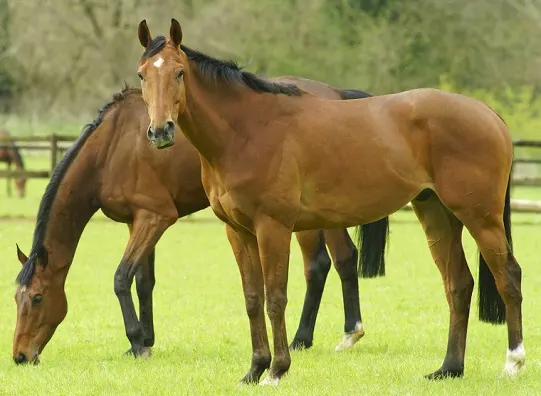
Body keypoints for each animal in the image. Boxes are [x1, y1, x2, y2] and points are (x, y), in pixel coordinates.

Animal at [12, 81, 388, 366]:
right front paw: (146, 339)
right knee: (339, 260)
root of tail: (336, 94)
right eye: (16, 299)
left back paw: (317, 335)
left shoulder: (155, 217)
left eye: (37, 298)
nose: (20, 356)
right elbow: (143, 281)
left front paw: (136, 342)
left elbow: (121, 278)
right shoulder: (138, 221)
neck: (112, 148)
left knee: (324, 263)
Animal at [135, 20, 524, 386]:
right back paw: (449, 369)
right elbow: (252, 299)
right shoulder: (238, 232)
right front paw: (254, 370)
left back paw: (513, 364)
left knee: (509, 278)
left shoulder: (273, 227)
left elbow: (276, 298)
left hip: (481, 218)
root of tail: (489, 114)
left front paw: (277, 370)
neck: (246, 130)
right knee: (458, 285)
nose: (160, 131)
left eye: (179, 72)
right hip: (437, 215)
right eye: (142, 75)